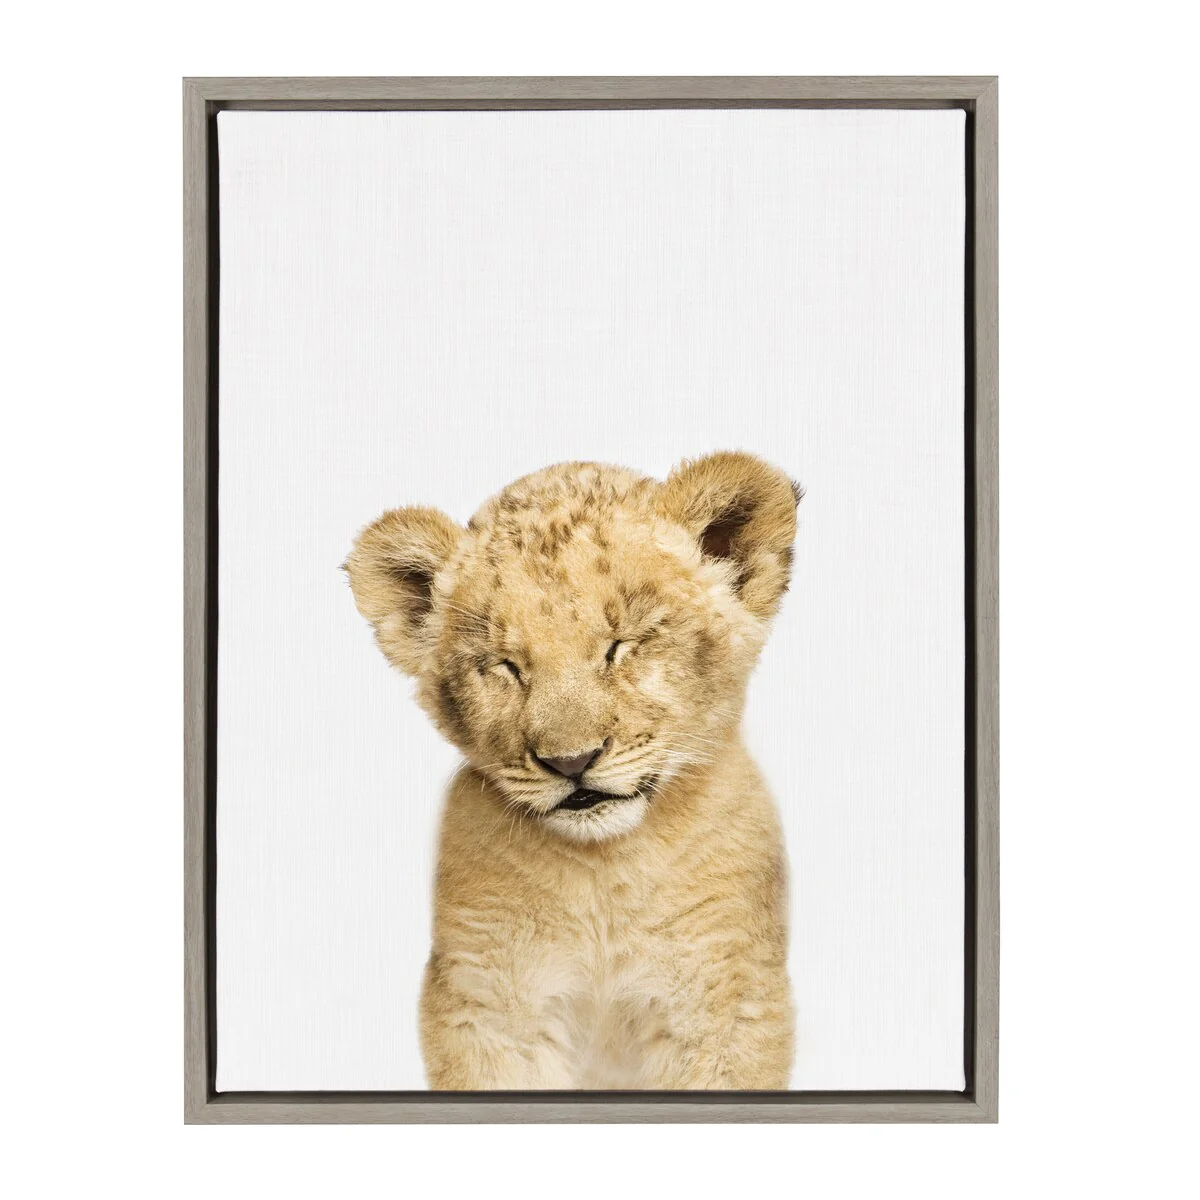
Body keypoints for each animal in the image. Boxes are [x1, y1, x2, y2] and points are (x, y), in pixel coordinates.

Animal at [344, 451, 800, 1089]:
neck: (602, 873)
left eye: (622, 645)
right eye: (506, 666)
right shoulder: (485, 1005)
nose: (571, 761)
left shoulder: (724, 1004)